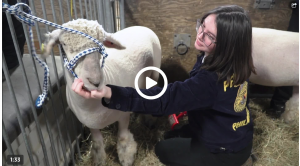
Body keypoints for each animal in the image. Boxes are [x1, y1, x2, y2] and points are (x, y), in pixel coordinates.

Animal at [42, 18, 162, 165]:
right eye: (64, 44)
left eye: (101, 44)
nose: (95, 81)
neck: (90, 106)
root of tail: (139, 26)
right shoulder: (90, 122)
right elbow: (98, 143)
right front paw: (100, 161)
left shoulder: (123, 115)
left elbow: (123, 138)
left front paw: (127, 158)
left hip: (155, 71)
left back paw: (150, 120)